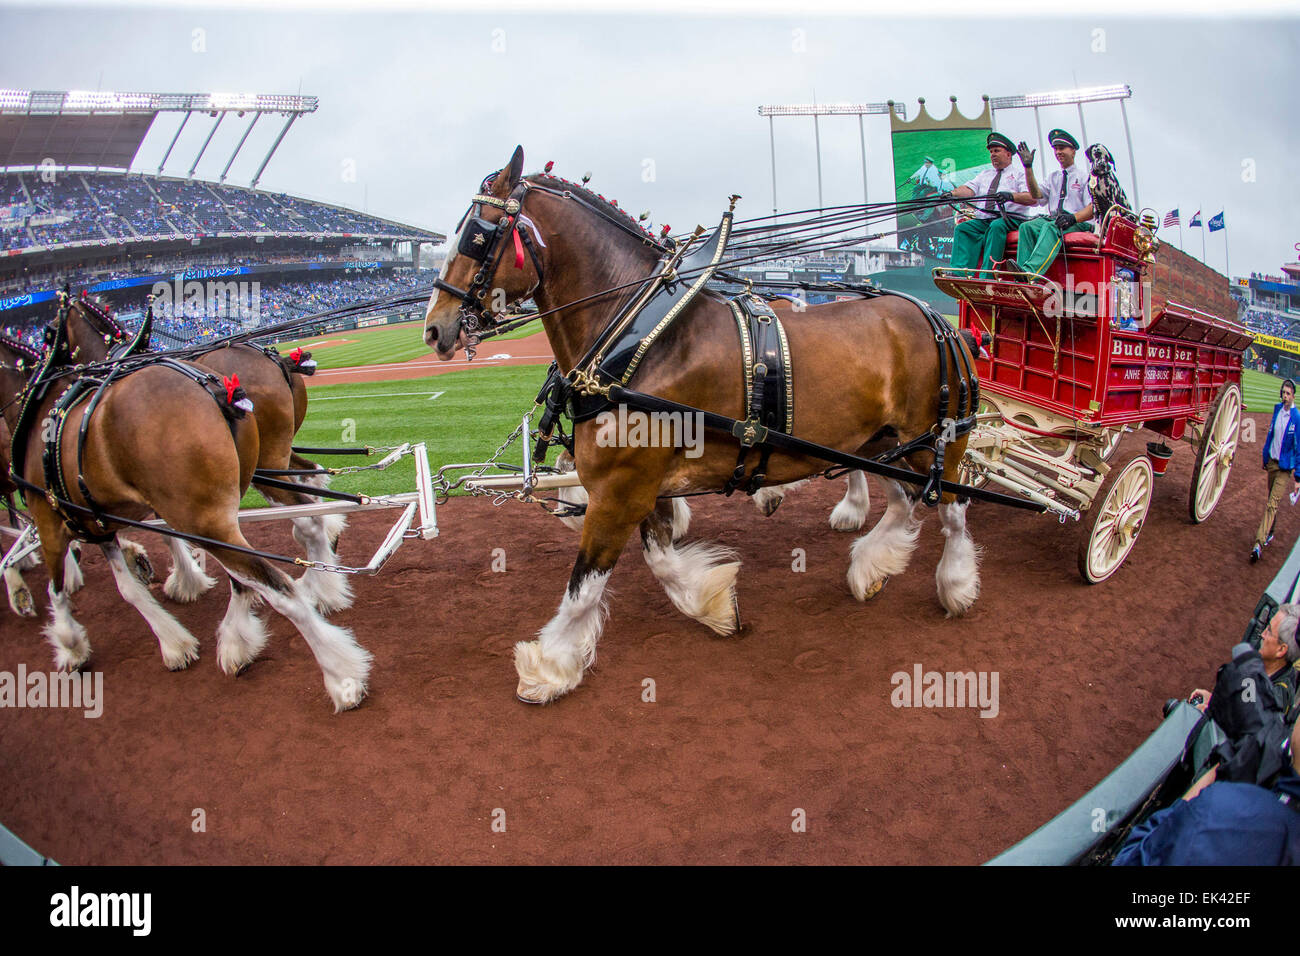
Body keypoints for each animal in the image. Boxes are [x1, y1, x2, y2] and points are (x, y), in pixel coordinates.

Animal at [426, 147, 982, 702]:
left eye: (477, 235)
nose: (434, 328)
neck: (635, 335)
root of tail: (936, 316)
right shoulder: (639, 484)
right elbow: (660, 559)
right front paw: (713, 602)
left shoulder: (621, 488)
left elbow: (585, 584)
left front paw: (550, 666)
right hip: (881, 441)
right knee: (906, 500)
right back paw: (871, 565)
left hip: (934, 441)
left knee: (952, 509)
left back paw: (954, 584)